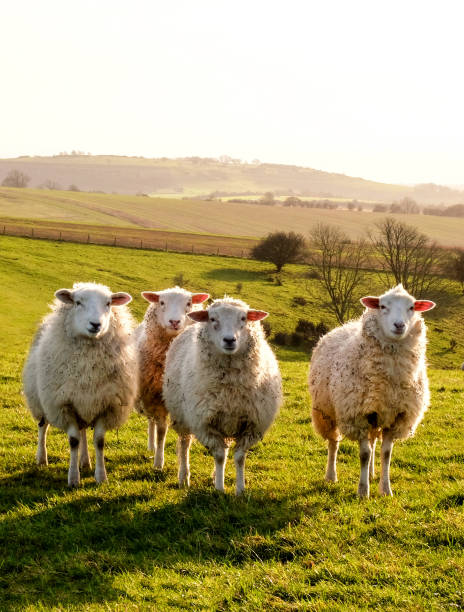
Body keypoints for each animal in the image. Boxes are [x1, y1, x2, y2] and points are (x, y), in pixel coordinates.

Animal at [22, 282, 137, 488]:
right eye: (77, 302)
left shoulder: (105, 405)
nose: (96, 324)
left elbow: (99, 441)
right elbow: (74, 441)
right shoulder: (65, 405)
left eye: (108, 303)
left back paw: (85, 461)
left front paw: (101, 477)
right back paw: (41, 458)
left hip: (84, 403)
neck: (88, 369)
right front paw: (74, 479)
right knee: (43, 427)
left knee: (83, 431)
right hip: (41, 401)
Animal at [133, 286, 208, 468]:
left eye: (188, 303)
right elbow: (161, 430)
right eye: (161, 302)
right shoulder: (156, 397)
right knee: (151, 420)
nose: (174, 322)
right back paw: (152, 446)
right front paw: (159, 462)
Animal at [163, 296, 282, 492]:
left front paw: (240, 490)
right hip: (182, 417)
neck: (230, 390)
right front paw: (219, 489)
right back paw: (184, 477)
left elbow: (239, 457)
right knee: (184, 444)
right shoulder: (205, 423)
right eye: (212, 319)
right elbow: (219, 456)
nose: (229, 340)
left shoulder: (251, 426)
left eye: (243, 318)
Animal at [308, 284, 436, 500]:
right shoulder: (358, 415)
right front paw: (363, 491)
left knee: (373, 441)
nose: (399, 325)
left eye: (411, 307)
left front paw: (385, 489)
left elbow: (386, 454)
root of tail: (344, 326)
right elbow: (364, 454)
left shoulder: (396, 417)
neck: (390, 382)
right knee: (334, 443)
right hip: (327, 412)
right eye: (383, 306)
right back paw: (331, 476)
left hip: (376, 416)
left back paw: (372, 473)